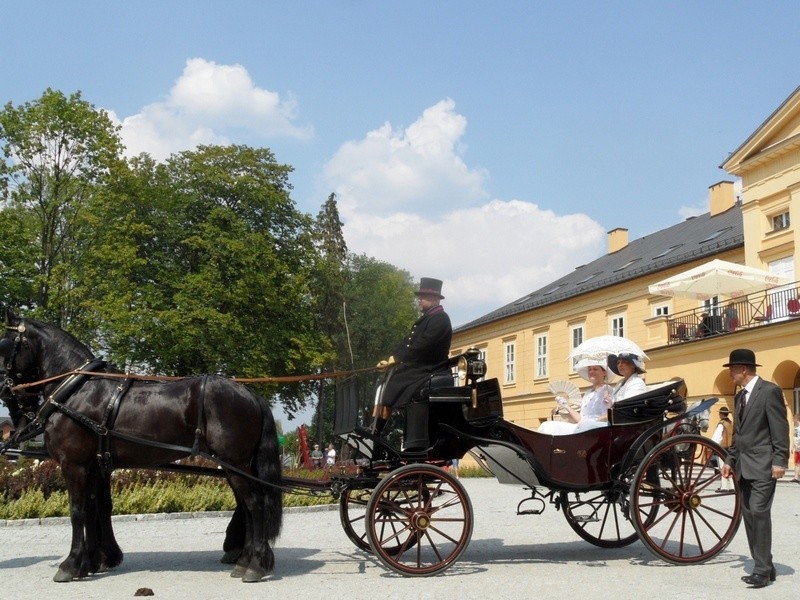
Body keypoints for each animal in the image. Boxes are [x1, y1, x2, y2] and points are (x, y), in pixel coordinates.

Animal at [1, 310, 282, 580]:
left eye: (4, 343)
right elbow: (94, 508)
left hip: (235, 463)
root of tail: (249, 393)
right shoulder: (94, 466)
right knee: (248, 506)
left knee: (255, 504)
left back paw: (255, 565)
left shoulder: (74, 465)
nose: (5, 390)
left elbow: (78, 511)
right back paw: (247, 560)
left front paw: (71, 565)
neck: (77, 391)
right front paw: (92, 562)